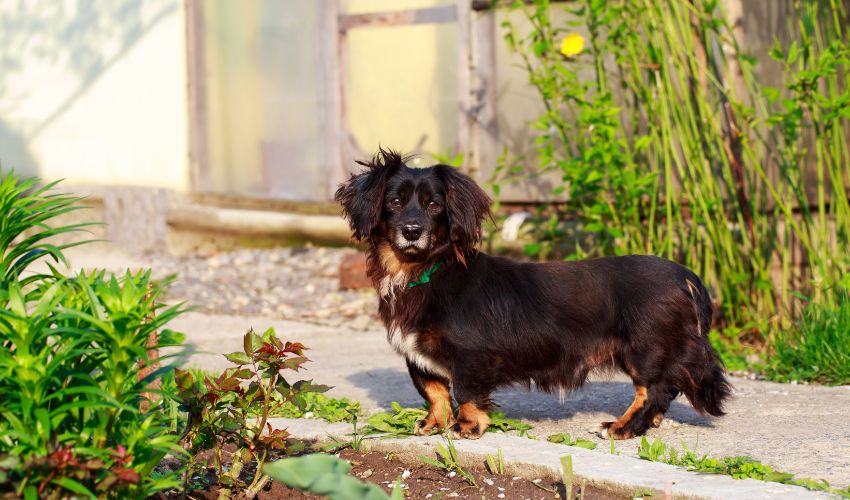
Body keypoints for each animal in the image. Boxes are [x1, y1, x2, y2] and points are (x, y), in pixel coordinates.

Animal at [332, 149, 728, 442]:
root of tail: (683, 274)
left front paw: (466, 426)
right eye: (395, 202)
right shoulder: (417, 358)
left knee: (654, 390)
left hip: (645, 348)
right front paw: (434, 423)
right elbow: (435, 391)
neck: (424, 271)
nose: (412, 231)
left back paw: (621, 427)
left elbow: (465, 392)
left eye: (434, 205)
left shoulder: (471, 356)